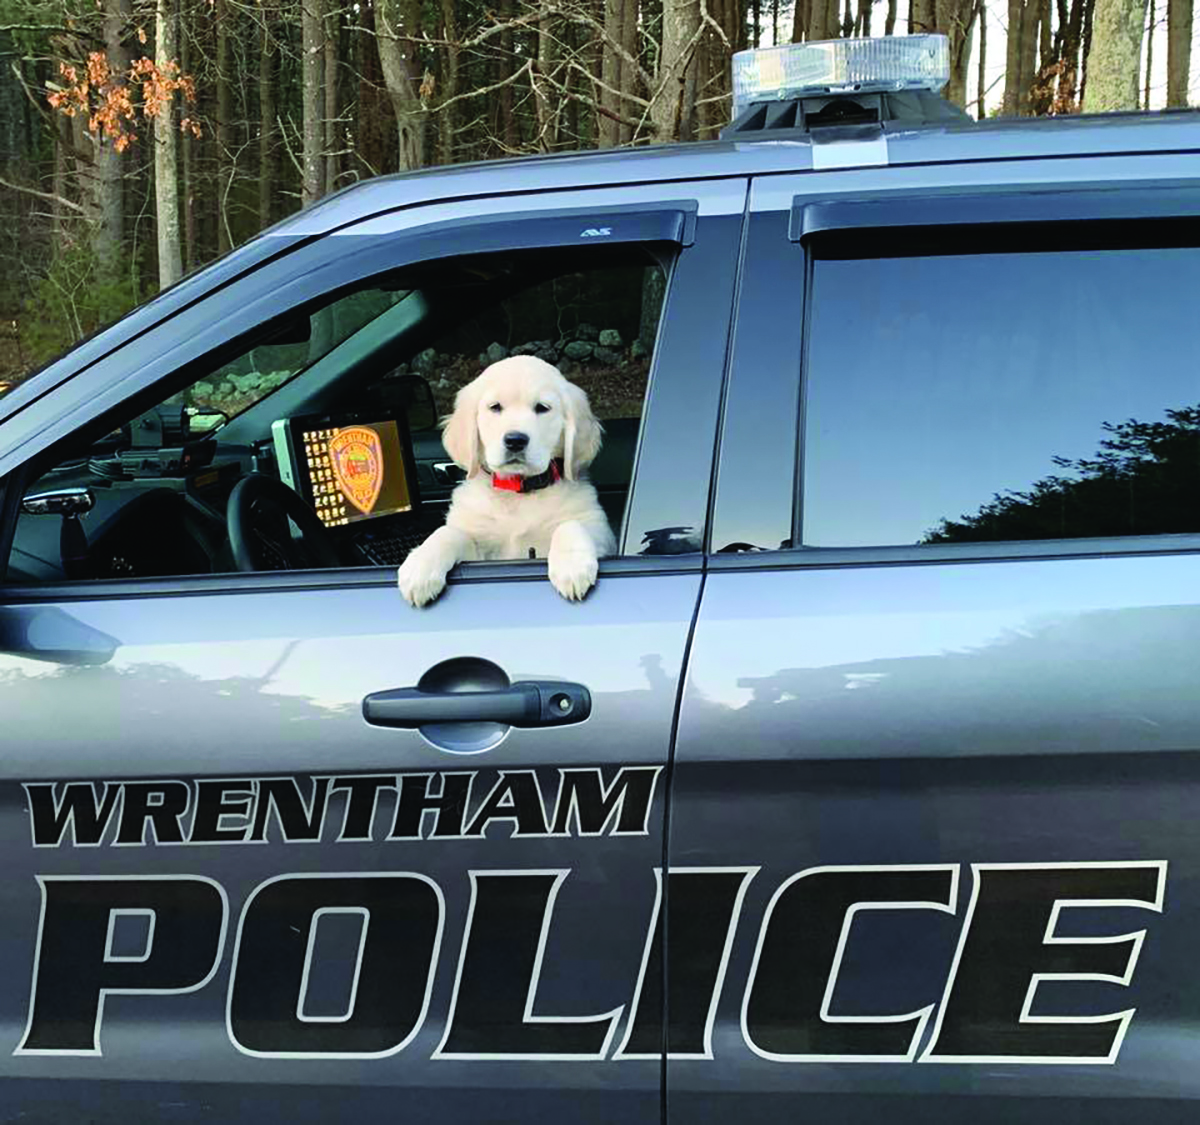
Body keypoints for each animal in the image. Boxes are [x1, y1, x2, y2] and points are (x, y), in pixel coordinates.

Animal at [398, 357, 614, 604]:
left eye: (542, 408)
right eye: (495, 407)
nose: (515, 440)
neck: (517, 489)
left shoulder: (602, 532)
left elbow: (571, 524)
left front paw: (571, 566)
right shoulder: (480, 554)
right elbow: (448, 533)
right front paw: (420, 567)